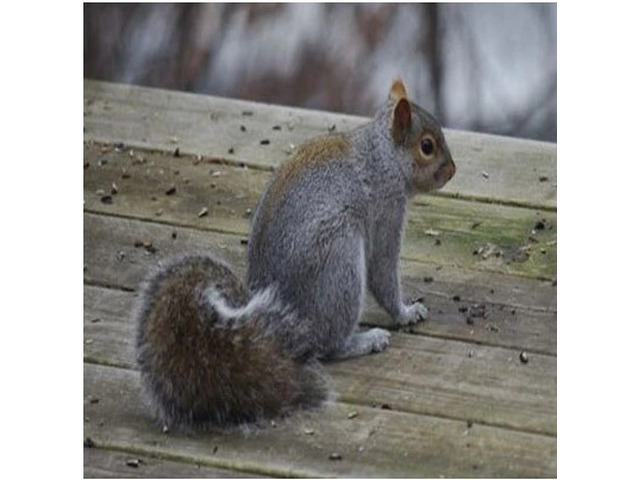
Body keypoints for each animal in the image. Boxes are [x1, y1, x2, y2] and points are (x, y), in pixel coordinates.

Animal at [134, 79, 456, 430]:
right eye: (427, 146)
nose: (452, 171)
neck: (384, 156)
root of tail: (280, 326)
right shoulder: (387, 210)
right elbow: (383, 272)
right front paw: (406, 312)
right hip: (339, 261)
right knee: (328, 345)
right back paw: (365, 341)